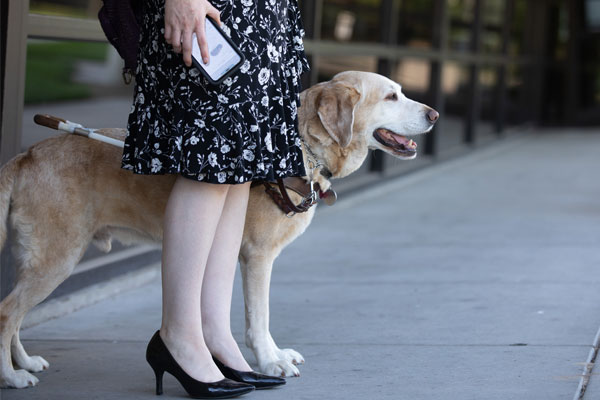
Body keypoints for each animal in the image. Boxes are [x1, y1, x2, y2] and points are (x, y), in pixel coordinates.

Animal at [0, 71, 438, 388]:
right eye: (391, 97)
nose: (434, 115)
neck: (301, 149)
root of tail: (26, 156)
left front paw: (273, 357)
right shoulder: (257, 257)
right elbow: (258, 317)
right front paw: (269, 363)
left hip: (38, 260)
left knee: (16, 315)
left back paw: (25, 362)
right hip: (55, 258)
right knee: (7, 313)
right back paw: (11, 377)